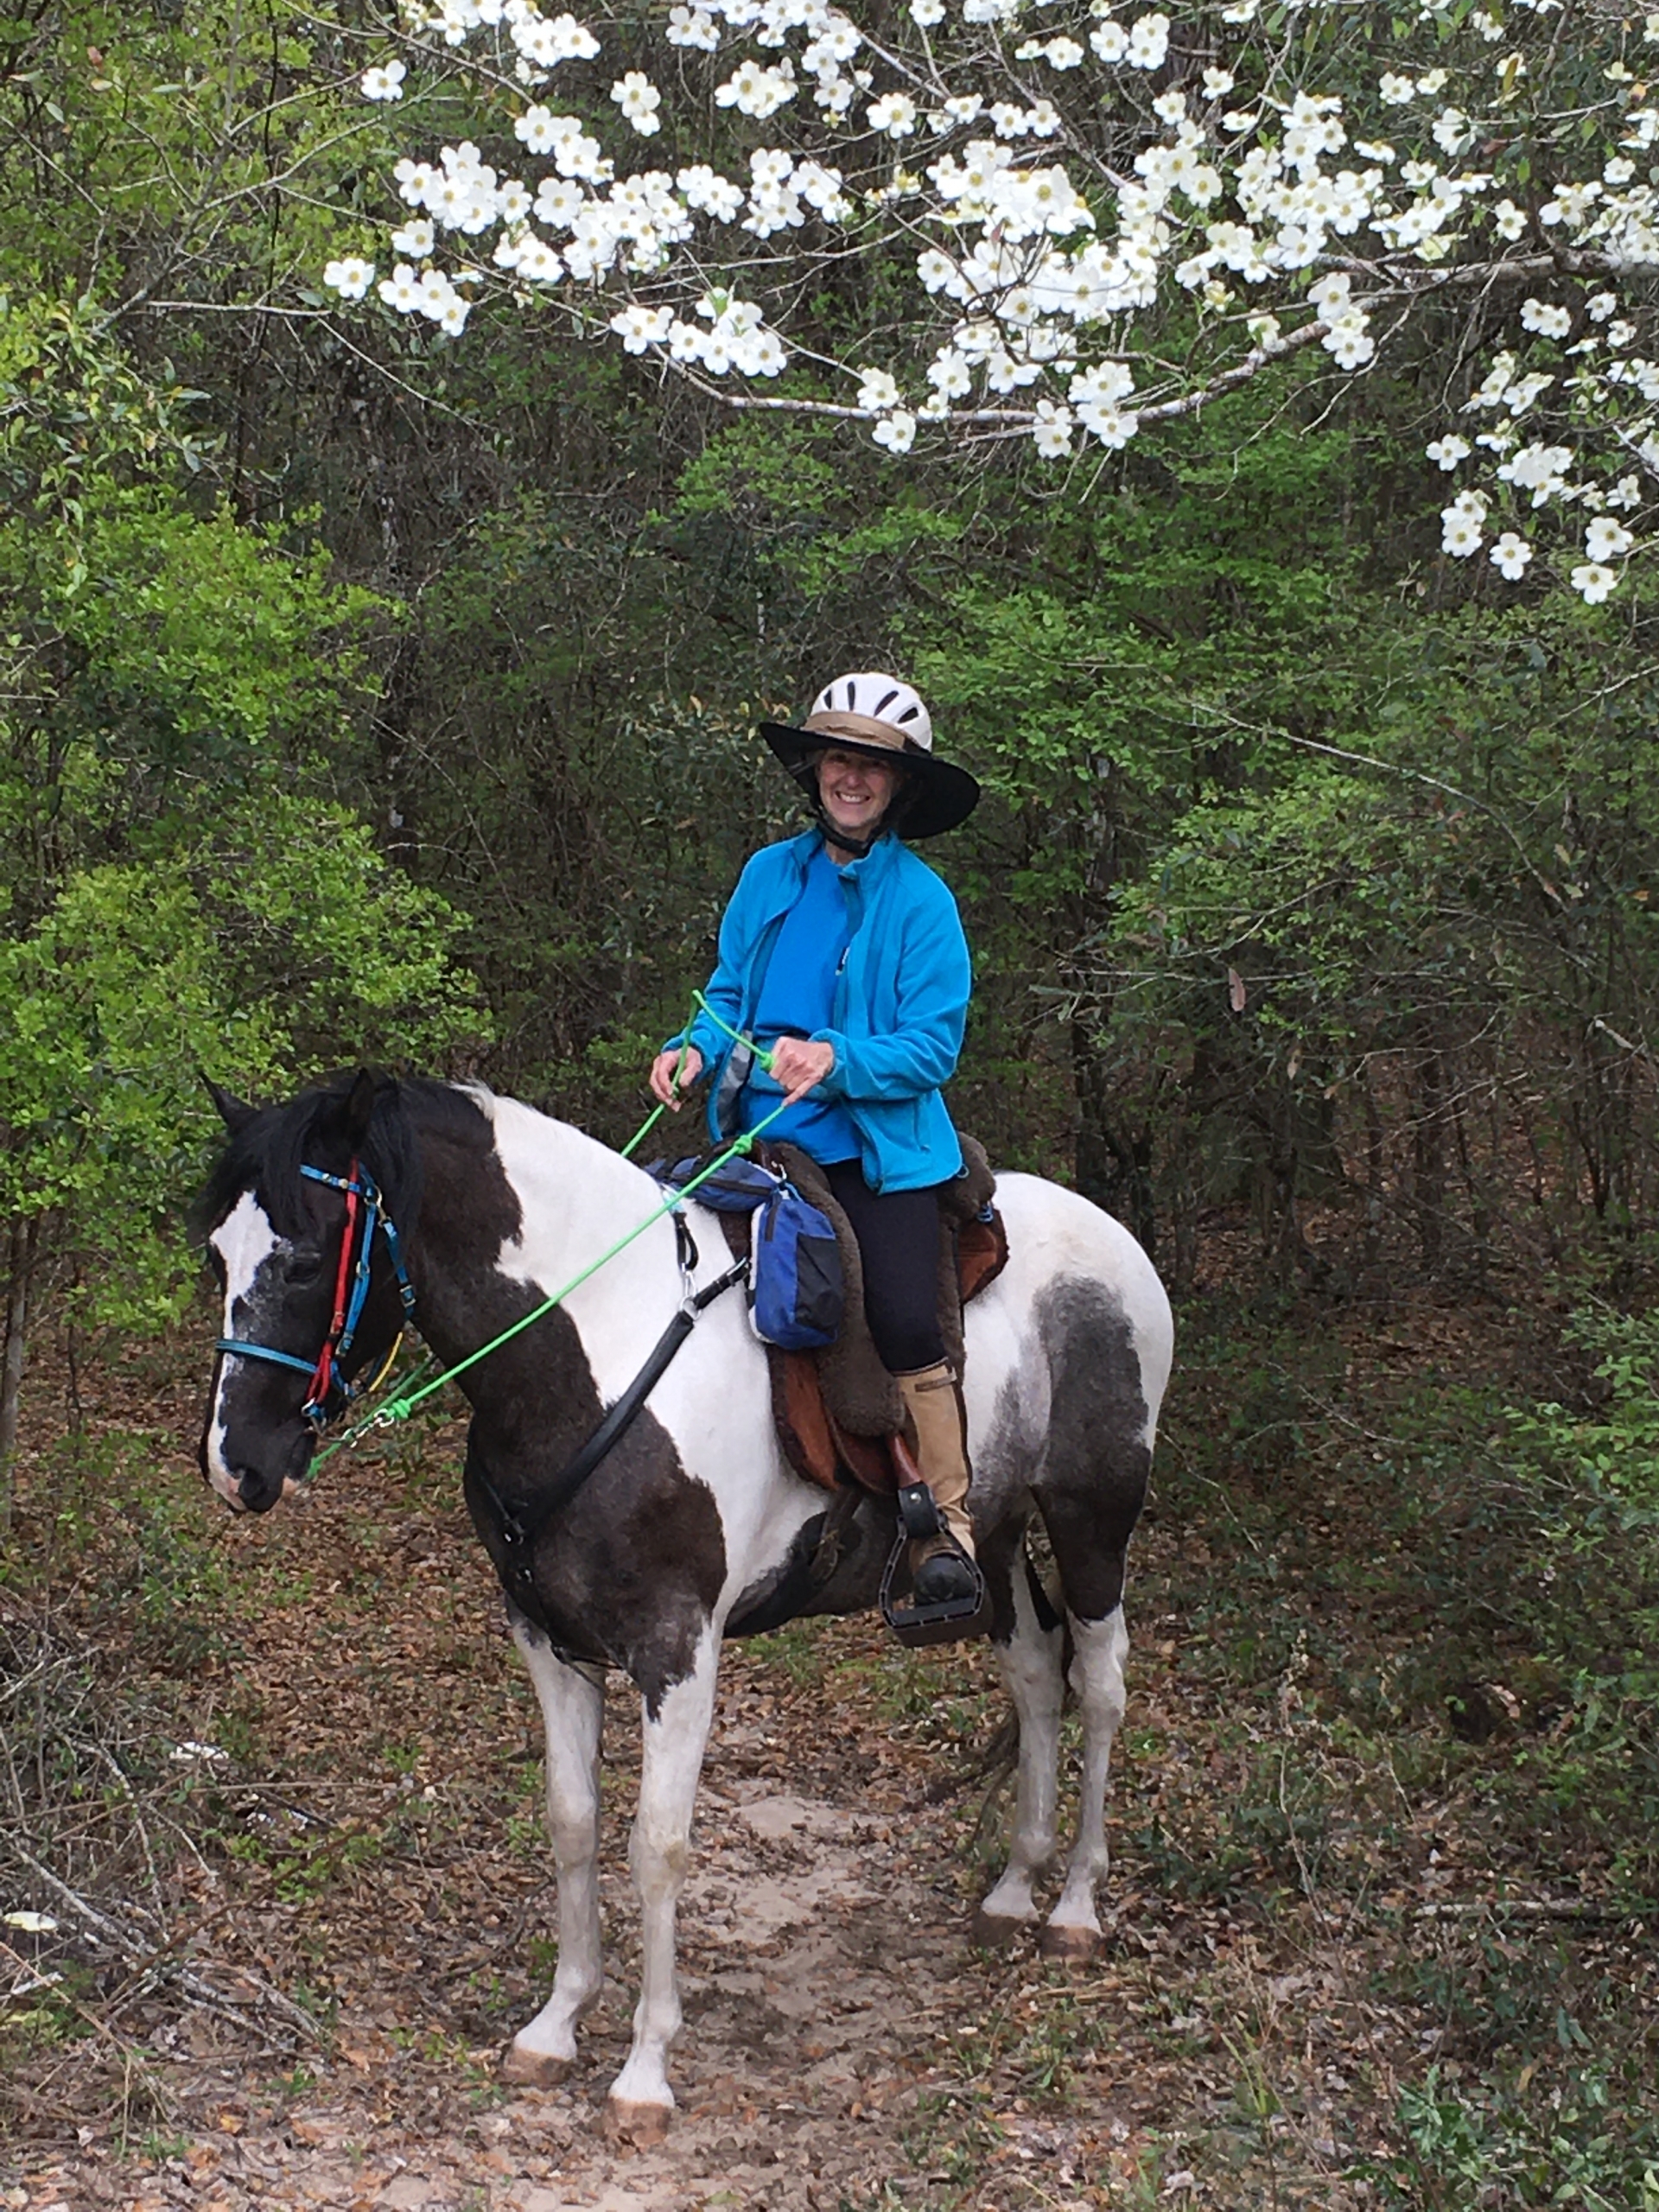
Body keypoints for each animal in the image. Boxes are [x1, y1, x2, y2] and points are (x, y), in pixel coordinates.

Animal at [200, 1071, 1176, 2141]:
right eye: (217, 1254)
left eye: (303, 1260)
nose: (237, 1466)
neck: (597, 1351)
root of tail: (1111, 1240)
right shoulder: (547, 1640)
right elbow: (572, 1820)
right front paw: (555, 2025)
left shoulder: (679, 1650)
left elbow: (657, 1844)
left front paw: (643, 2070)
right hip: (993, 1540)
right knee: (1037, 1675)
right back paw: (1011, 1890)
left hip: (1092, 1520)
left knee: (1102, 1686)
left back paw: (1076, 1905)